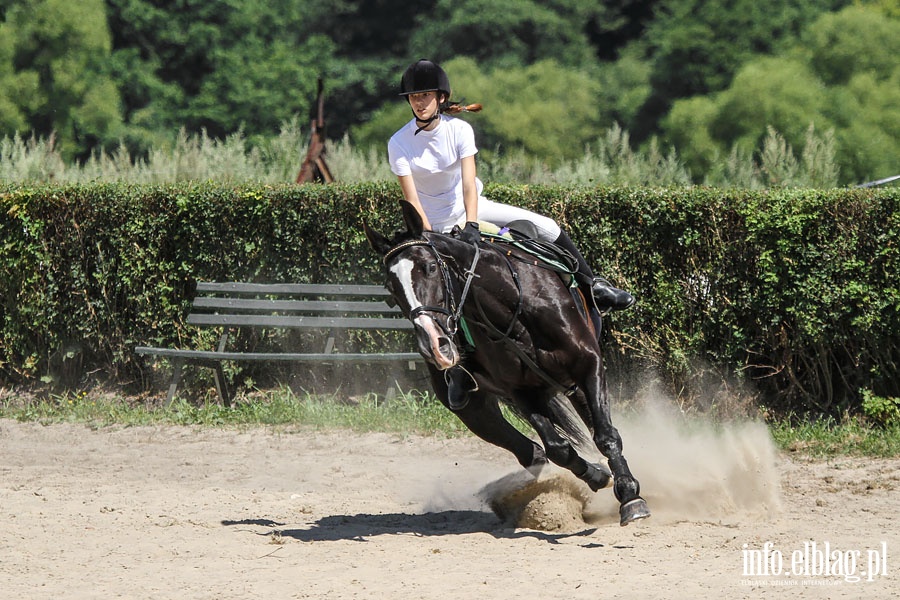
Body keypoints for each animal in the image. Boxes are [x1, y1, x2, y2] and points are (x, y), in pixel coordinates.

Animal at [362, 203, 652, 524]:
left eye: (430, 267)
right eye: (391, 286)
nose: (434, 346)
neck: (514, 303)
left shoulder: (589, 364)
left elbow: (606, 435)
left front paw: (630, 496)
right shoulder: (521, 391)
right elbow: (558, 448)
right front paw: (598, 476)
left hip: (570, 383)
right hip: (474, 410)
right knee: (533, 452)